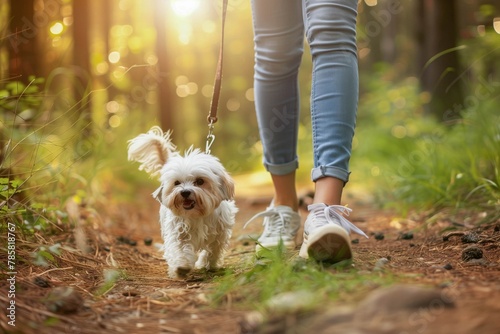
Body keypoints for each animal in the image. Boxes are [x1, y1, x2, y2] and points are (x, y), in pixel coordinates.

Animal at [129, 126, 238, 278]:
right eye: (177, 183)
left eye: (200, 181)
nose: (185, 192)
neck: (198, 215)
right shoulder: (179, 232)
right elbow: (180, 249)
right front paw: (181, 266)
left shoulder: (220, 233)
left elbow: (213, 250)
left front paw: (208, 264)